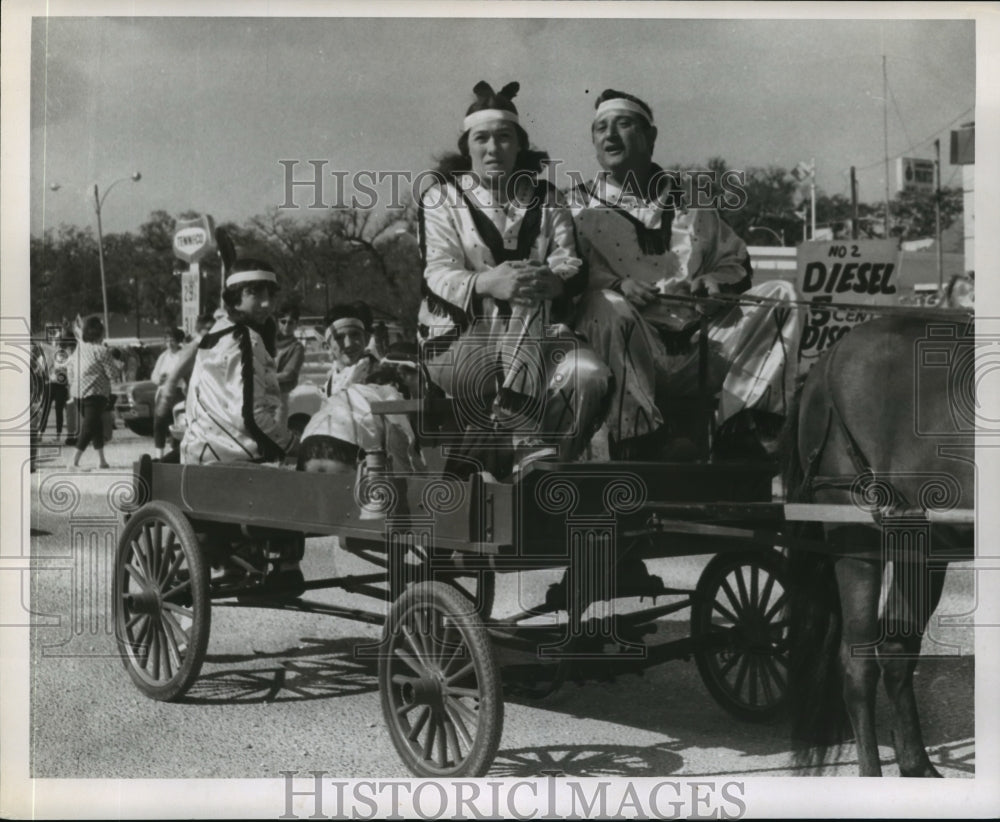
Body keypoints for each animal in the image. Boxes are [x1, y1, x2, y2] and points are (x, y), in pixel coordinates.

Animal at [780, 310, 976, 780]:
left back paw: (917, 764)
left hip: (919, 540)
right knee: (858, 664)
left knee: (896, 650)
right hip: (857, 536)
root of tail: (827, 359)